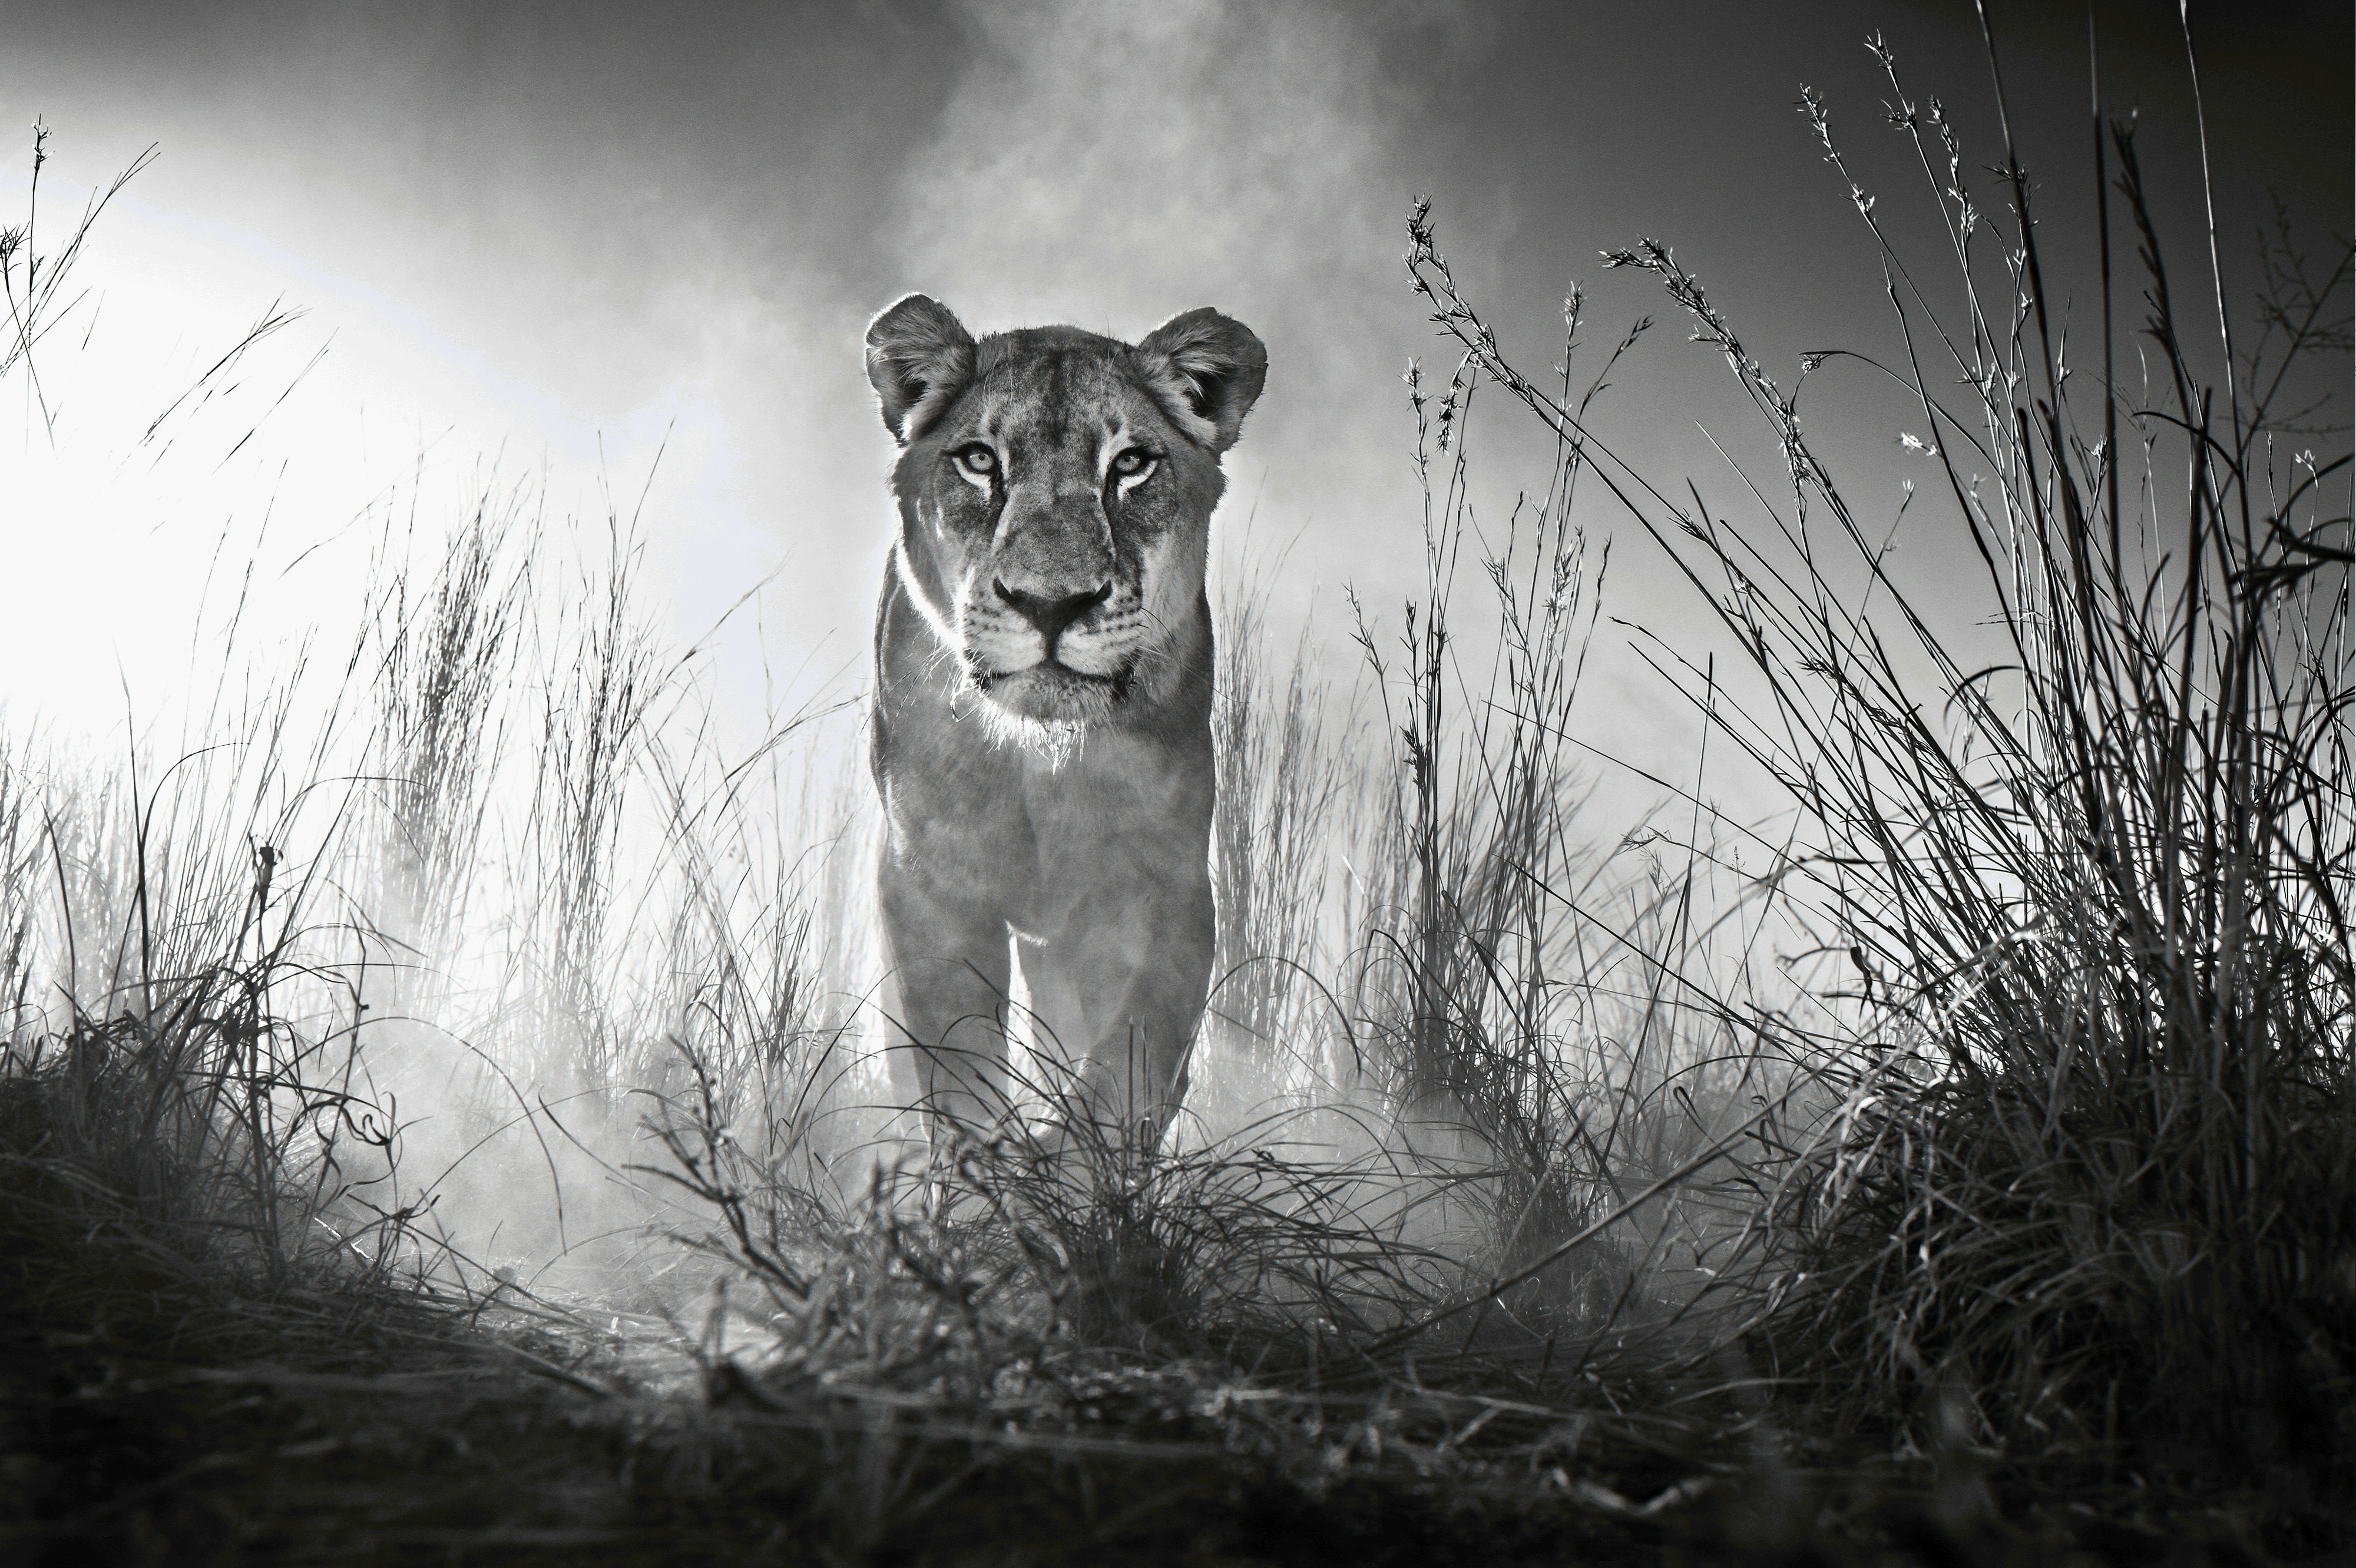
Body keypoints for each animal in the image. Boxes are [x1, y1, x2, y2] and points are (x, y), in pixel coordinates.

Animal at [862, 293, 1266, 1155]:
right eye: (979, 461)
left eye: (1131, 464)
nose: (1051, 604)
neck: (1040, 763)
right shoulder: (927, 880)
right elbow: (955, 1058)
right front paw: (984, 1170)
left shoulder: (1165, 884)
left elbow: (1132, 1054)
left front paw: (1069, 1161)